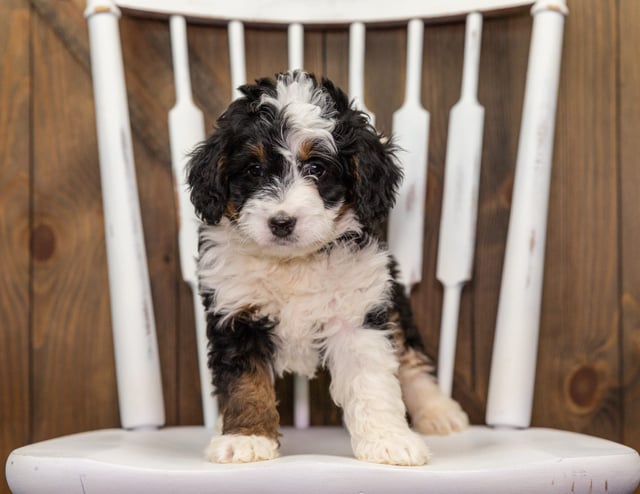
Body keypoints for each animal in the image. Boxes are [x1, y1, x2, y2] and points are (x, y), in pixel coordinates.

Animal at [188, 70, 468, 466]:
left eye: (317, 169)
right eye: (254, 170)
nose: (282, 222)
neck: (293, 263)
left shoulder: (359, 315)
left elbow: (373, 382)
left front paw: (388, 440)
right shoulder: (236, 314)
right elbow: (244, 383)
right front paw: (247, 438)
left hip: (396, 302)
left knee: (410, 357)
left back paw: (438, 412)